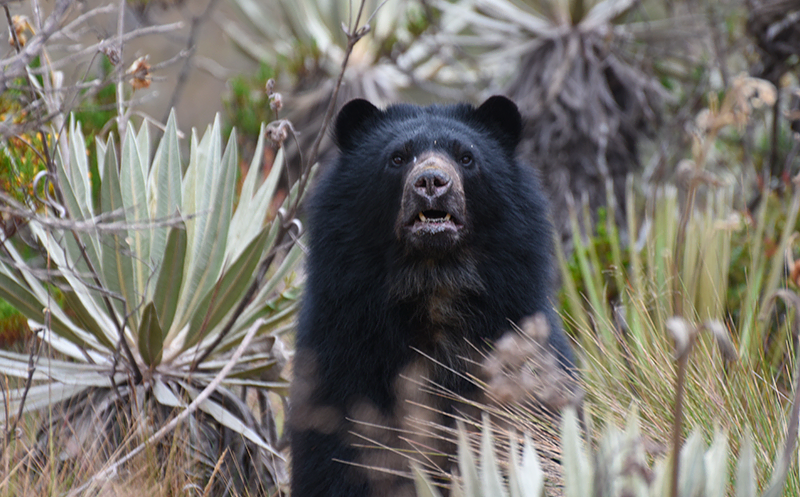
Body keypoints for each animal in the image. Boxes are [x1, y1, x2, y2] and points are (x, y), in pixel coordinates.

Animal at [289, 96, 575, 497]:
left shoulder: (522, 355)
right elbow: (336, 461)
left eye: (467, 157)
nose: (431, 182)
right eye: (397, 158)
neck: (433, 283)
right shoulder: (342, 360)